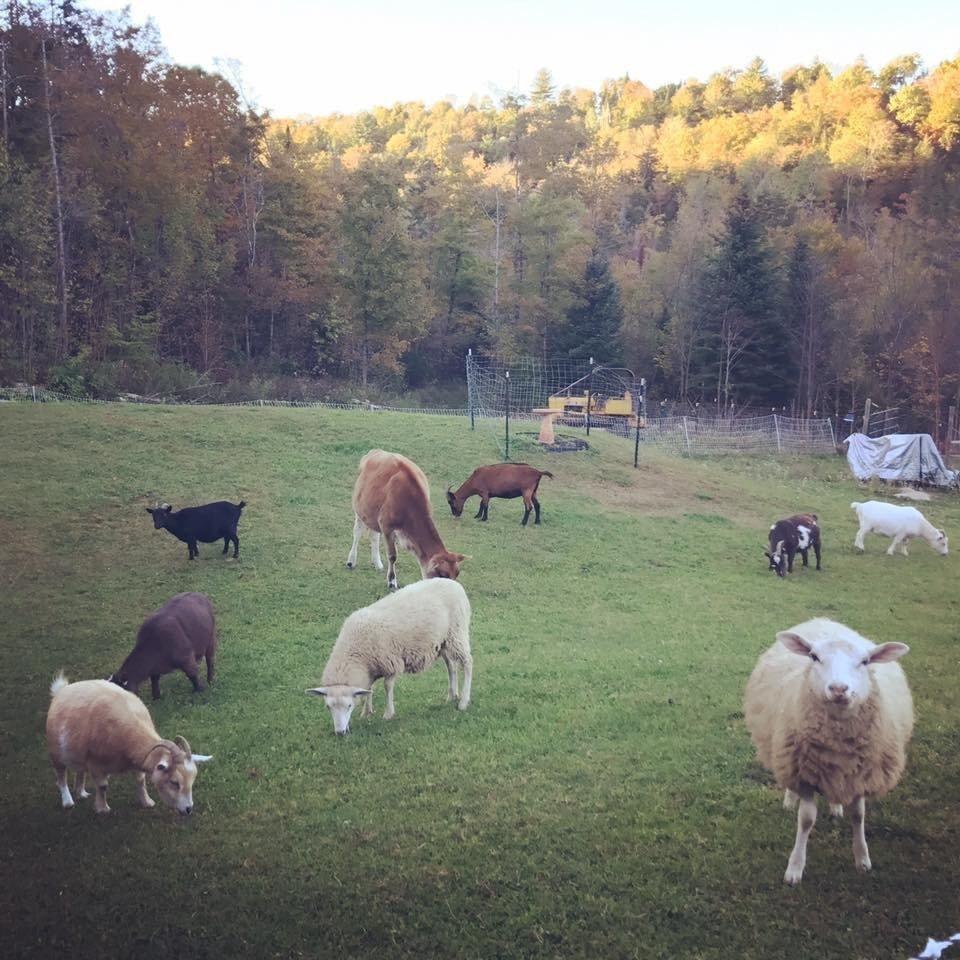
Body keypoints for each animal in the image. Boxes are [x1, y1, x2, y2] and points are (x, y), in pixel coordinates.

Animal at [46, 672, 211, 812]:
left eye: (192, 780)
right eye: (174, 782)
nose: (188, 809)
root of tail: (63, 689)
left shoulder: (137, 761)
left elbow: (140, 781)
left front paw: (147, 802)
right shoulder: (95, 763)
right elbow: (102, 786)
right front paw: (103, 809)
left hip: (78, 753)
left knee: (80, 771)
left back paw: (81, 792)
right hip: (55, 752)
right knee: (61, 776)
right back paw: (68, 801)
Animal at [308, 576, 472, 736]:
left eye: (349, 706)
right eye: (328, 707)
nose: (340, 733)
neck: (357, 654)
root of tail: (455, 584)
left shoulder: (390, 663)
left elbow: (387, 687)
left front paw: (388, 714)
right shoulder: (370, 668)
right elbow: (369, 689)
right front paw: (366, 712)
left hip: (457, 632)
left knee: (468, 663)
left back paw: (463, 702)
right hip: (443, 642)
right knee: (451, 666)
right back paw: (452, 695)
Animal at [744, 624, 916, 884]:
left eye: (865, 661)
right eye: (814, 657)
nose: (838, 689)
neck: (839, 746)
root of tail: (824, 621)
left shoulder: (861, 775)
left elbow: (859, 815)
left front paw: (862, 859)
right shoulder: (803, 772)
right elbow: (806, 819)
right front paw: (795, 868)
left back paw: (836, 807)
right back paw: (790, 800)